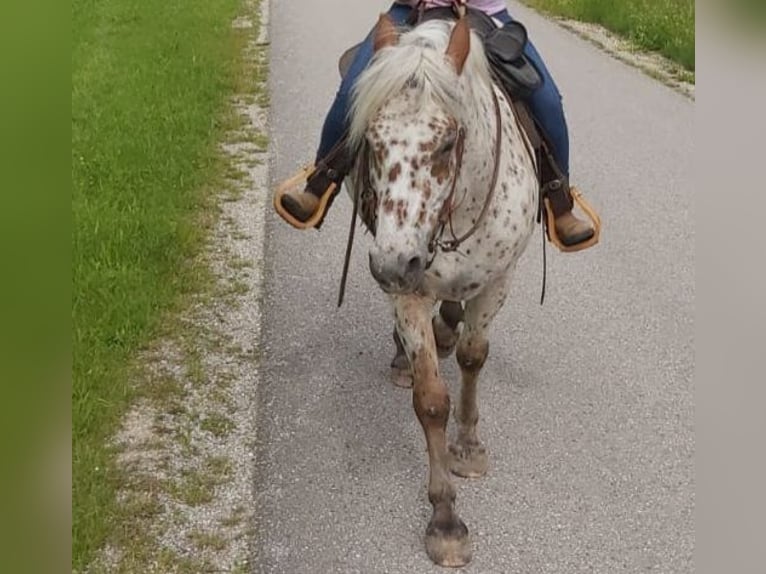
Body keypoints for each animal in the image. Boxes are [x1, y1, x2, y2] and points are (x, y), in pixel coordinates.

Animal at [340, 15, 540, 568]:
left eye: (448, 143)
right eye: (372, 141)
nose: (392, 263)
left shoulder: (497, 282)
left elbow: (473, 357)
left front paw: (467, 446)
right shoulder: (408, 290)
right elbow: (431, 400)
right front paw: (446, 519)